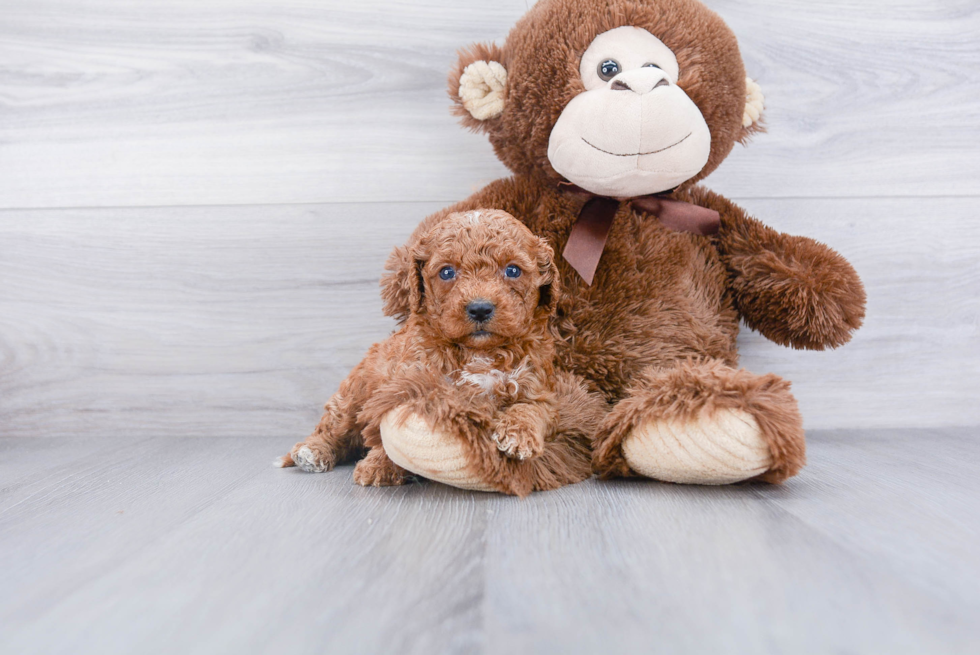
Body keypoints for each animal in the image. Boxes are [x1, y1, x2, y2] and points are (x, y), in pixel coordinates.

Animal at [276, 210, 604, 498]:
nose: (480, 308)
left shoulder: (537, 389)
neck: (479, 353)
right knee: (335, 427)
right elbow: (389, 433)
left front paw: (519, 435)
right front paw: (380, 465)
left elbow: (530, 409)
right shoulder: (408, 384)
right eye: (447, 272)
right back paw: (312, 451)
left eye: (512, 270)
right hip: (354, 394)